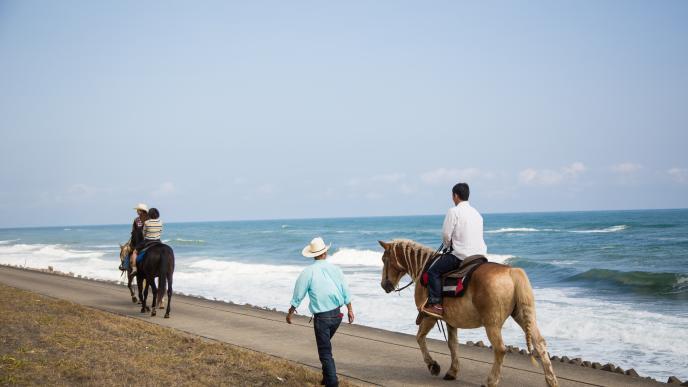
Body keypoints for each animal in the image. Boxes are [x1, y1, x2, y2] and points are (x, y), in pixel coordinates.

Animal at [378, 239, 556, 387]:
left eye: (384, 259)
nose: (384, 285)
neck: (424, 268)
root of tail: (511, 272)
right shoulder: (450, 321)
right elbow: (453, 344)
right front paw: (452, 371)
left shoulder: (429, 317)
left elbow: (420, 338)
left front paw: (433, 366)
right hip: (524, 315)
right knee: (540, 344)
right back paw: (551, 380)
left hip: (492, 324)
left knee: (500, 349)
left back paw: (491, 381)